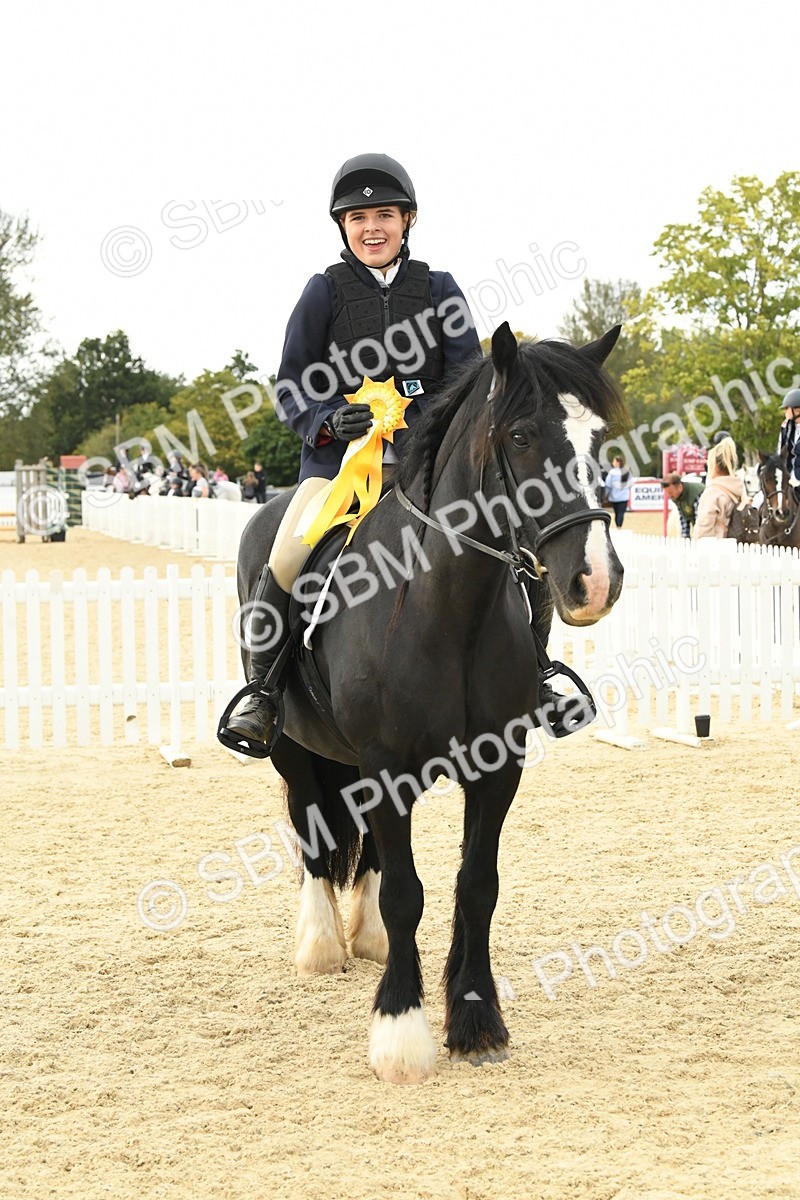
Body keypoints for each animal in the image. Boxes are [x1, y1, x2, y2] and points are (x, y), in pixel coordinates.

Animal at [233, 323, 626, 1083]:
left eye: (600, 439)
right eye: (523, 436)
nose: (595, 581)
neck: (447, 605)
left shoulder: (496, 769)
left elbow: (476, 884)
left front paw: (476, 1022)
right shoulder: (386, 767)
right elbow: (406, 892)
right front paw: (400, 1034)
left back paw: (367, 940)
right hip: (293, 747)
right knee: (312, 832)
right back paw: (321, 944)